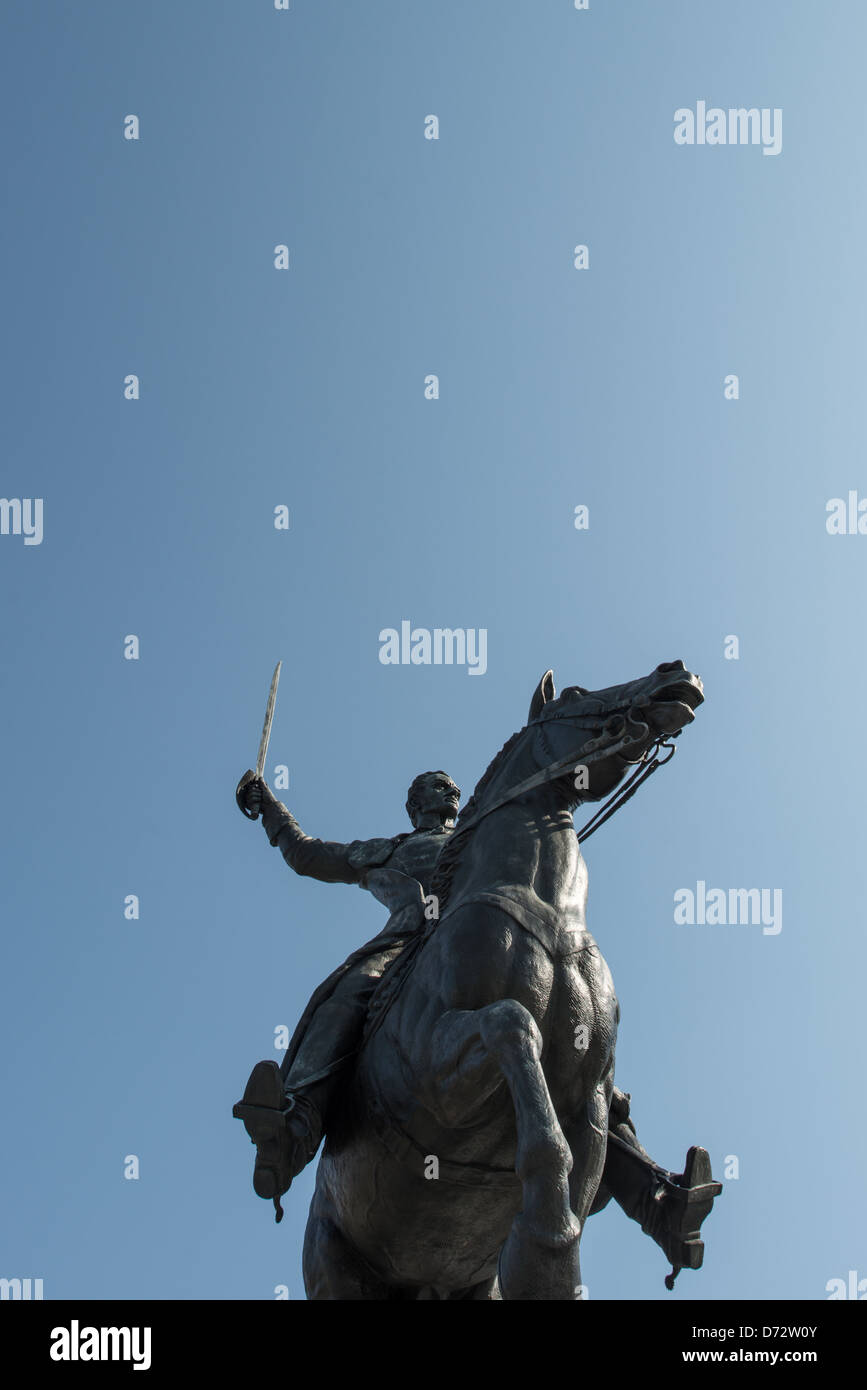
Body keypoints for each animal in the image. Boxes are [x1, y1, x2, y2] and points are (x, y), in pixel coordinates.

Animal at [302, 656, 705, 1295]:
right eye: (575, 692)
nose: (675, 672)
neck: (547, 908)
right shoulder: (432, 1079)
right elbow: (512, 1026)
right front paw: (545, 1240)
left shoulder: (592, 1087)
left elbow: (579, 1181)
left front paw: (549, 1258)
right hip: (332, 1268)